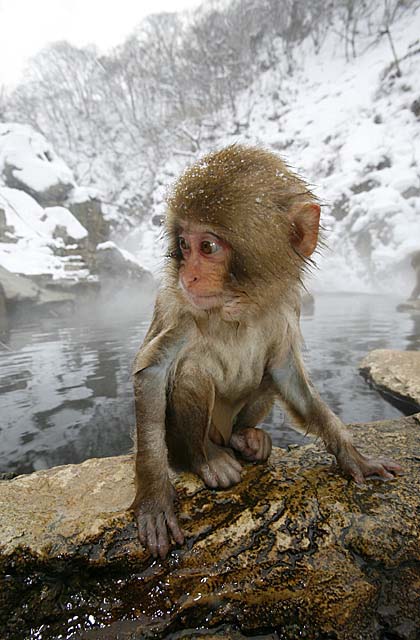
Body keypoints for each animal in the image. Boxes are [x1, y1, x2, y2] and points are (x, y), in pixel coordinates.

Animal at [131, 148, 404, 556]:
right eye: (183, 245)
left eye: (207, 247)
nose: (187, 276)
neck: (237, 308)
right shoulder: (179, 307)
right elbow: (152, 372)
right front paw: (153, 498)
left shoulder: (285, 307)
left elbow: (286, 372)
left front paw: (352, 456)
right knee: (193, 376)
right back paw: (207, 457)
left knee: (265, 380)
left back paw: (246, 438)